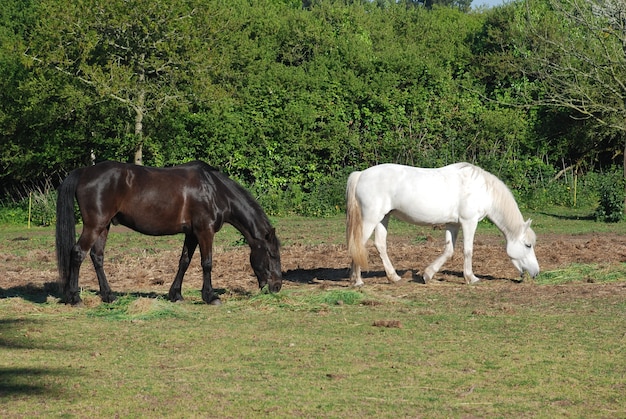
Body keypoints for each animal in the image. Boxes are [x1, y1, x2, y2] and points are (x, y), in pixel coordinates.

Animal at [56, 161, 280, 306]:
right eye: (273, 255)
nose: (277, 287)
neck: (214, 190)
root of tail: (84, 171)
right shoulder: (204, 231)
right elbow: (207, 263)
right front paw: (211, 296)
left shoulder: (191, 234)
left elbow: (184, 262)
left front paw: (176, 295)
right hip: (94, 226)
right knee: (78, 253)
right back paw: (75, 298)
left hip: (104, 226)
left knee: (97, 257)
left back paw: (109, 296)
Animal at [344, 162, 540, 288]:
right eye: (527, 245)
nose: (536, 272)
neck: (483, 190)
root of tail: (361, 174)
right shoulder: (469, 222)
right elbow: (468, 250)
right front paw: (471, 278)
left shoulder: (452, 224)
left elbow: (449, 251)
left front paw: (427, 274)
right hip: (371, 218)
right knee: (358, 245)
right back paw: (357, 281)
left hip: (383, 218)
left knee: (380, 245)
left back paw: (393, 277)